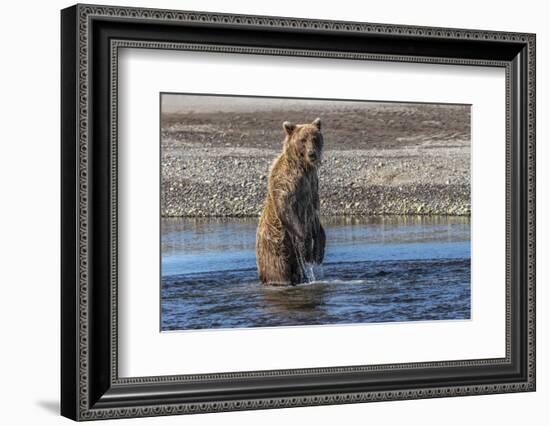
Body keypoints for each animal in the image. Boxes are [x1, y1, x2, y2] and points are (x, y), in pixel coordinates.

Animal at [256, 117, 326, 286]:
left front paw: (318, 252)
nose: (312, 154)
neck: (304, 167)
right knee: (278, 271)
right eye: (302, 140)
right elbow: (286, 208)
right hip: (277, 249)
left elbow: (316, 216)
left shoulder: (312, 188)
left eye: (315, 138)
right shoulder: (287, 182)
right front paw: (306, 246)